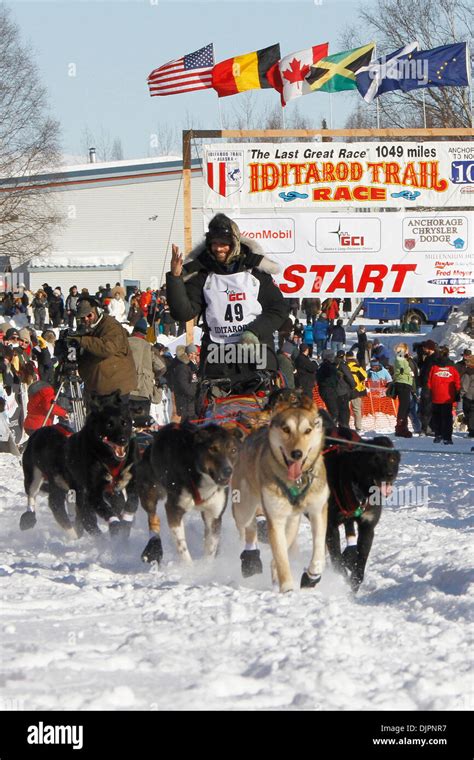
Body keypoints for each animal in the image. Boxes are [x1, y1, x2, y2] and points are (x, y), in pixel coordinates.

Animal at [20, 394, 139, 536]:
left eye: (124, 423)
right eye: (109, 424)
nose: (122, 440)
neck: (105, 457)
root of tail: (37, 433)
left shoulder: (121, 486)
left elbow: (129, 503)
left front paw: (125, 523)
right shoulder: (92, 493)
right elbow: (102, 514)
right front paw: (115, 528)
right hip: (35, 477)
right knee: (36, 496)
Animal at [136, 422, 241, 564]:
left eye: (233, 450)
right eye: (213, 449)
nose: (228, 470)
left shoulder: (213, 515)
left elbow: (211, 549)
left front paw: (207, 566)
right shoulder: (174, 509)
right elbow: (182, 547)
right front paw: (189, 567)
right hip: (149, 493)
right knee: (153, 518)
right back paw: (153, 548)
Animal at [231, 394, 328, 596]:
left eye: (308, 430)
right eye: (286, 429)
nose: (297, 453)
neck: (296, 481)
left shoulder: (318, 510)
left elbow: (318, 549)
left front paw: (311, 576)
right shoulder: (274, 517)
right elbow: (282, 558)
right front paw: (288, 588)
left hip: (292, 522)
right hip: (244, 507)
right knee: (248, 527)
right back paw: (251, 557)